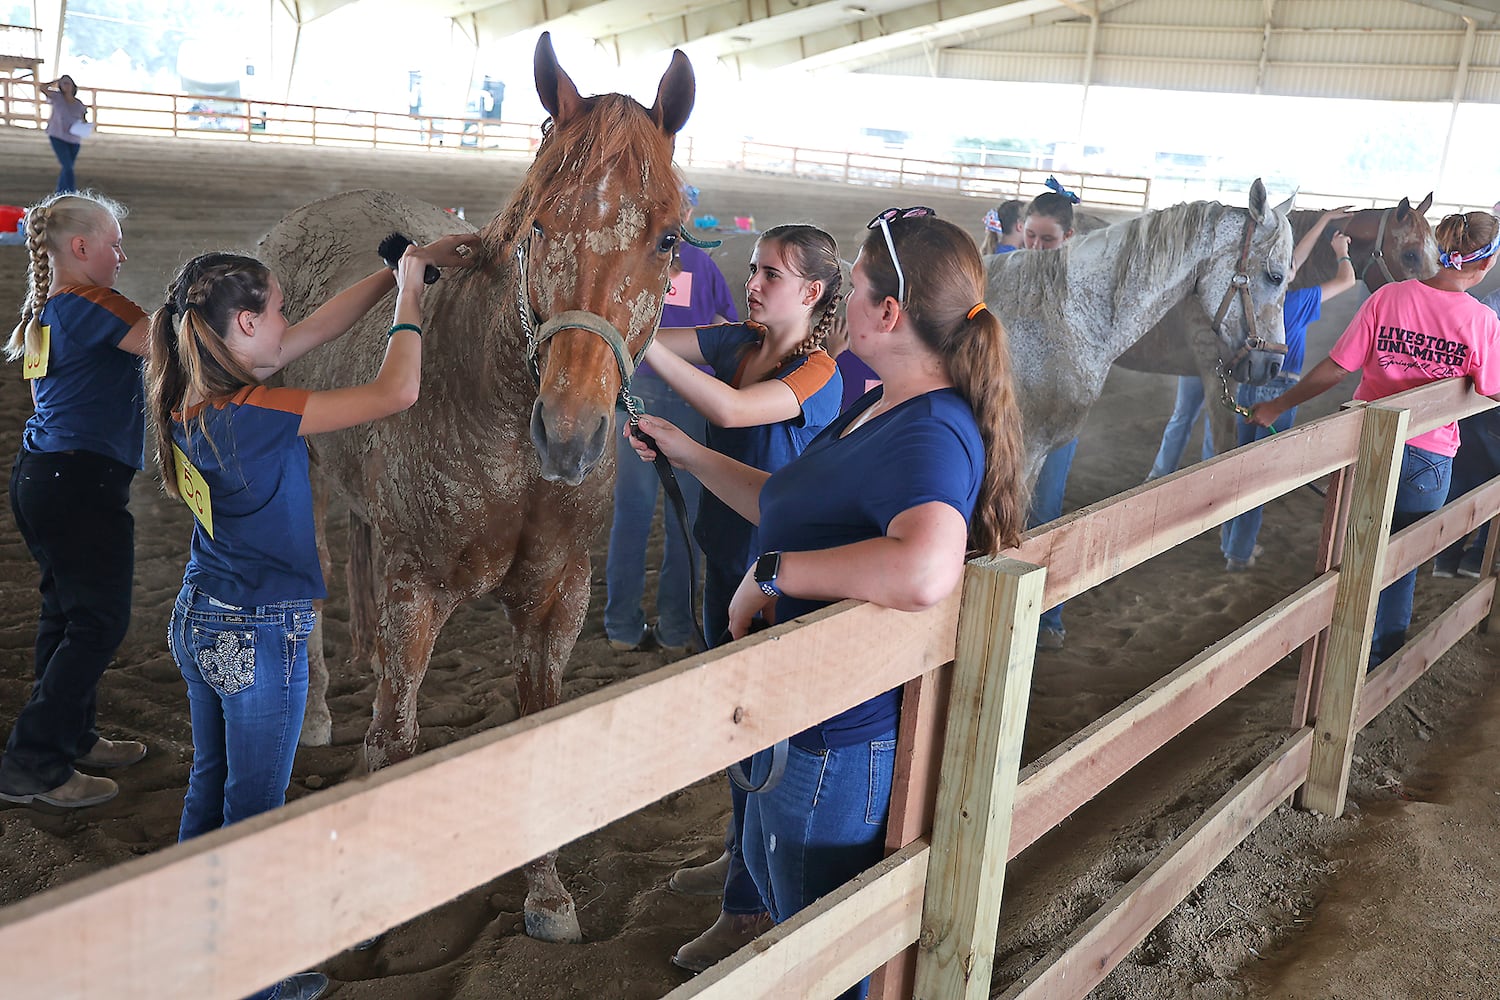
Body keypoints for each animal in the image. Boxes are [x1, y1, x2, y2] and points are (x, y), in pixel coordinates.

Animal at [259, 29, 696, 941]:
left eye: (671, 239)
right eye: (541, 221)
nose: (567, 432)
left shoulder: (558, 599)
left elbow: (533, 736)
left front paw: (548, 895)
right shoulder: (416, 594)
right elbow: (400, 735)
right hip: (305, 480)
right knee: (312, 591)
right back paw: (317, 716)